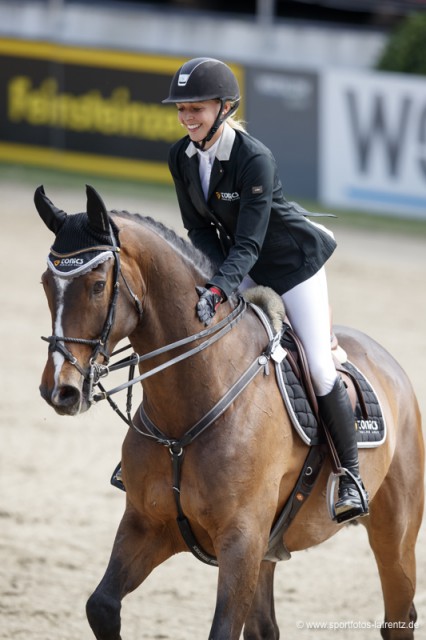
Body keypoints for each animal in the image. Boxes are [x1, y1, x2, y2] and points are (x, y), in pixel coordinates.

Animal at [35, 182, 422, 636]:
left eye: (97, 285)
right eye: (46, 282)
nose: (60, 391)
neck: (184, 420)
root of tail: (388, 362)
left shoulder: (241, 541)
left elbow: (221, 630)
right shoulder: (148, 525)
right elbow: (101, 606)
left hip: (393, 534)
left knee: (398, 615)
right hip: (269, 551)